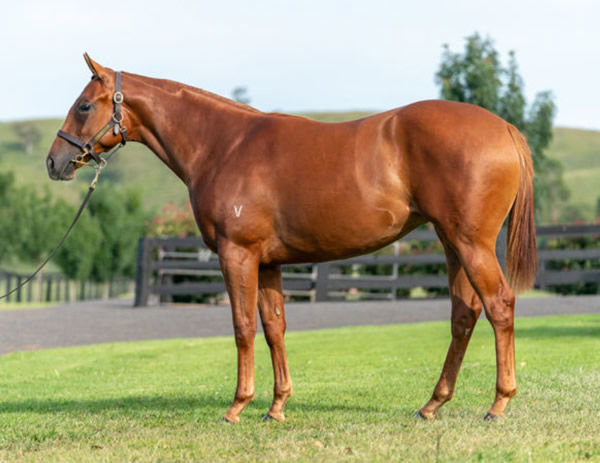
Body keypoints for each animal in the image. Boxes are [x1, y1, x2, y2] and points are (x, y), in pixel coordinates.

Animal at [44, 54, 536, 424]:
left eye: (84, 106)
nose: (55, 161)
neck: (224, 145)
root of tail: (504, 129)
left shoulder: (237, 254)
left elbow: (243, 326)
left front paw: (237, 406)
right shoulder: (269, 263)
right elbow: (274, 327)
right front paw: (276, 407)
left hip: (470, 243)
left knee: (499, 306)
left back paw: (498, 404)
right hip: (452, 243)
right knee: (464, 314)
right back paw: (432, 404)